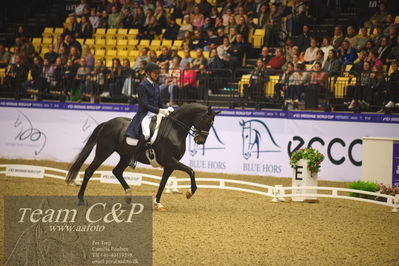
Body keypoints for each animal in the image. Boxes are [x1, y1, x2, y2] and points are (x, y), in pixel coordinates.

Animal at [67, 103, 220, 209]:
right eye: (206, 121)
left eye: (212, 124)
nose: (200, 141)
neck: (174, 130)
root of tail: (107, 123)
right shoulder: (170, 160)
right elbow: (191, 171)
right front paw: (190, 192)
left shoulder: (170, 165)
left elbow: (163, 183)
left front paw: (157, 203)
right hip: (103, 152)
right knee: (89, 171)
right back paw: (81, 199)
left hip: (125, 156)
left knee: (117, 172)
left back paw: (129, 196)